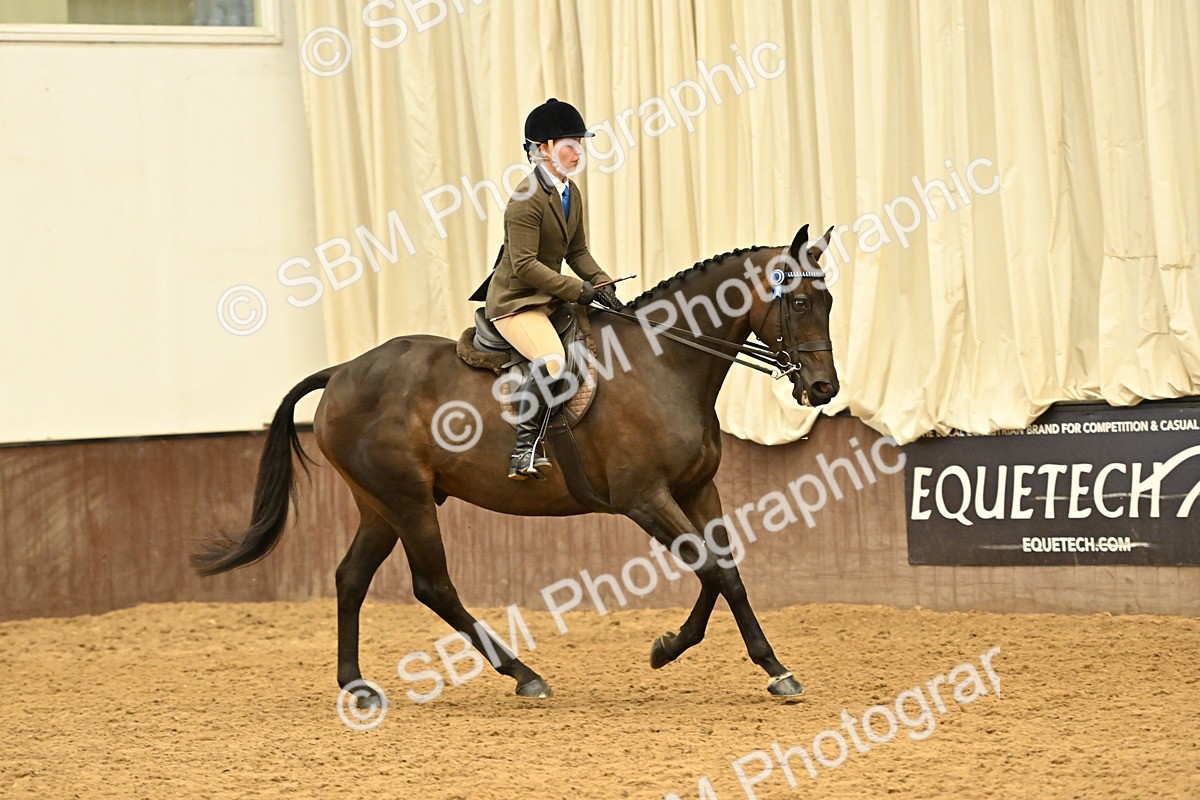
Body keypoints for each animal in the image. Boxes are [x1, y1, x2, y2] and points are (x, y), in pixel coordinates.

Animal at [191, 223, 840, 704]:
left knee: (350, 577)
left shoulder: (697, 490)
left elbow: (724, 570)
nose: (824, 388)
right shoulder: (644, 499)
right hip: (407, 500)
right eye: (800, 301)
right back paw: (524, 676)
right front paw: (686, 652)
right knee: (432, 585)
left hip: (379, 505)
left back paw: (356, 686)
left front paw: (749, 661)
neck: (665, 365)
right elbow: (712, 569)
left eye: (829, 300)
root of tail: (342, 372)